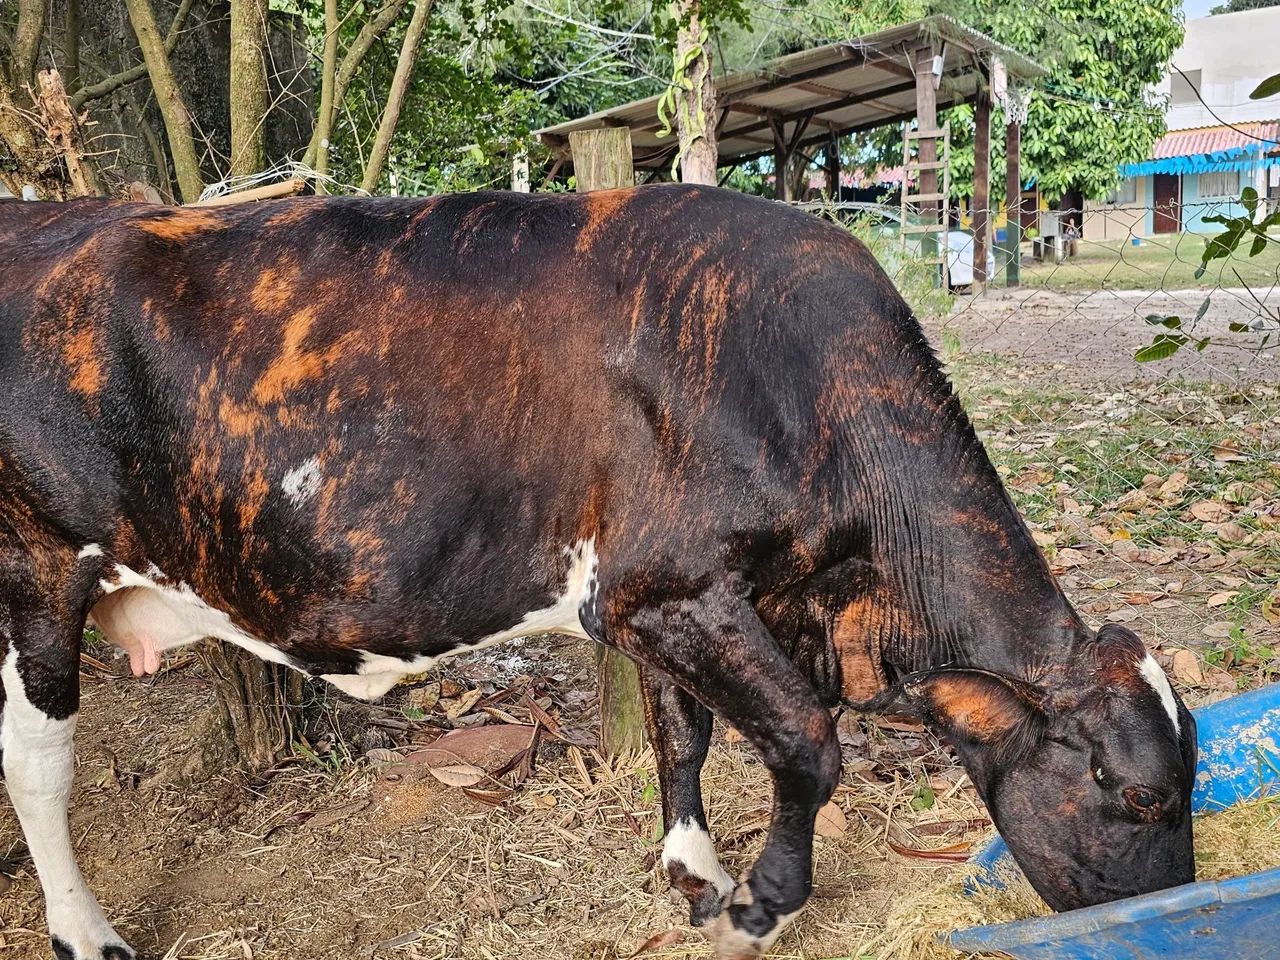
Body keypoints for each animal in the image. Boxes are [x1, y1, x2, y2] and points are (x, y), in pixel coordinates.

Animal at [0, 185, 1196, 960]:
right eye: (1140, 793)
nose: (1179, 902)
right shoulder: (669, 590)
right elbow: (807, 744)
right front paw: (760, 905)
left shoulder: (663, 606)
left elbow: (686, 736)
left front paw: (692, 870)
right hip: (35, 568)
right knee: (37, 764)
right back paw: (86, 933)